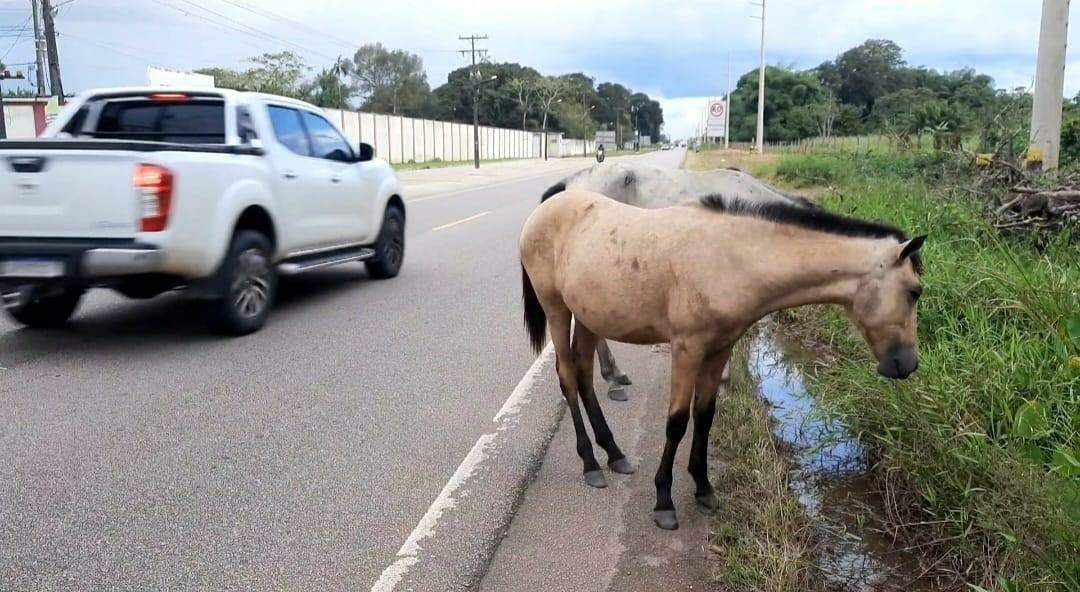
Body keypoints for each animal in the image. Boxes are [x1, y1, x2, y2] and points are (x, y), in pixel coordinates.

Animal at [518, 191, 924, 531]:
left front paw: (703, 487)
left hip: (589, 317)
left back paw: (614, 454)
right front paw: (664, 501)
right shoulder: (687, 348)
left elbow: (705, 415)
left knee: (584, 376)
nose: (906, 364)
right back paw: (590, 463)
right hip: (557, 309)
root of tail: (543, 209)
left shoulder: (720, 348)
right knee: (568, 377)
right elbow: (677, 422)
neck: (732, 258)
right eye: (915, 291)